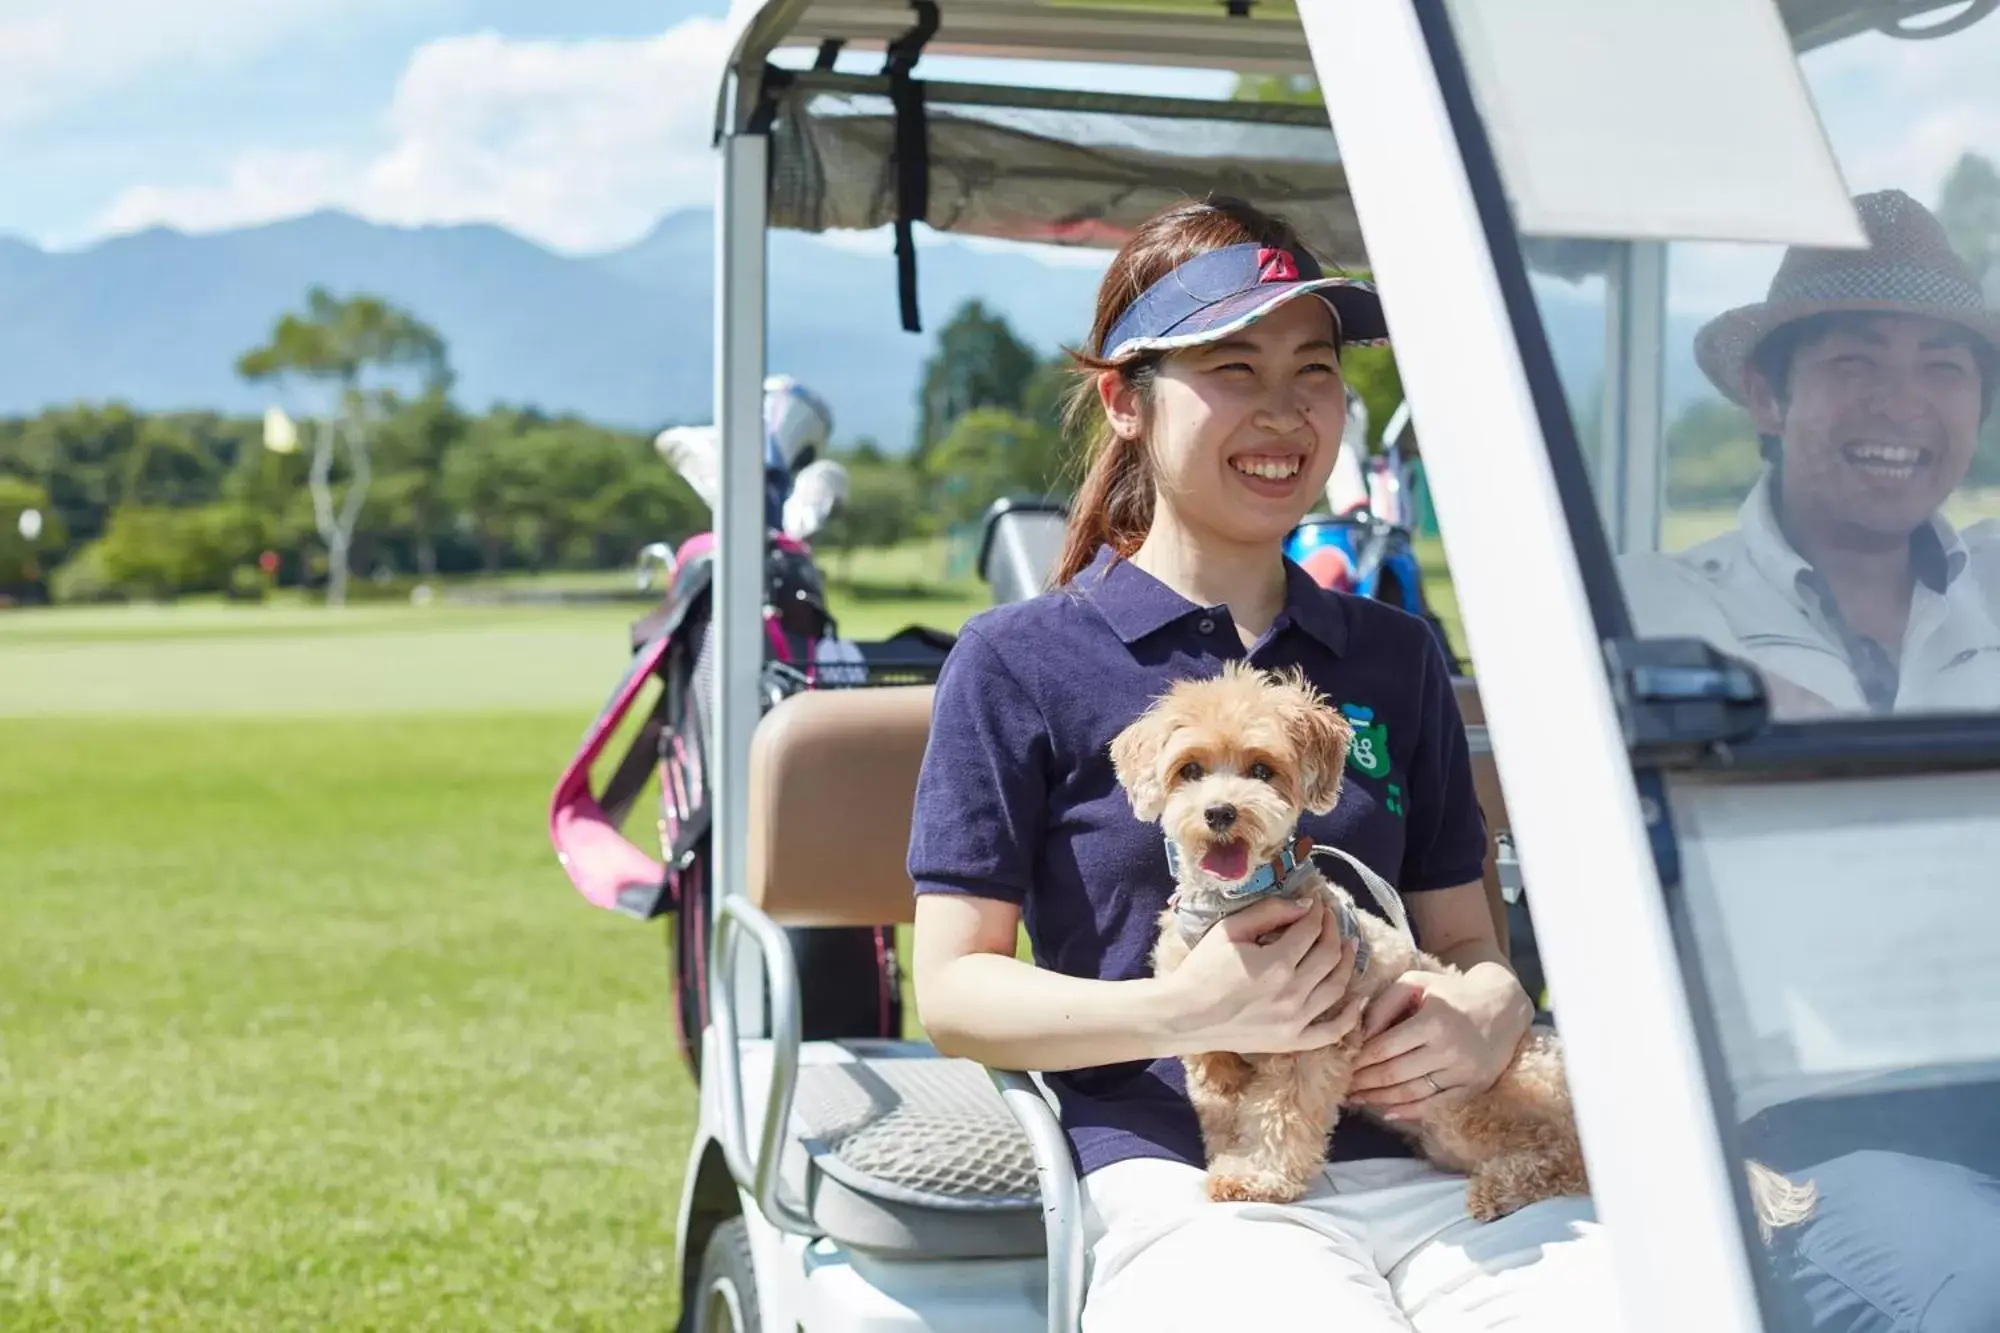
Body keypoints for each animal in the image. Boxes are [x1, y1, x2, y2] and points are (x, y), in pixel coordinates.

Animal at [1112, 652, 1816, 1224]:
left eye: (1262, 769)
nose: (1221, 812)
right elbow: (1221, 1100)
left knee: (1564, 1158)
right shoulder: (1205, 1032)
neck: (1230, 909)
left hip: (1484, 1101)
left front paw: (1261, 1179)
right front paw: (1229, 1163)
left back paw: (1501, 1190)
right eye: (1190, 770)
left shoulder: (1314, 1045)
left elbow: (1281, 1117)